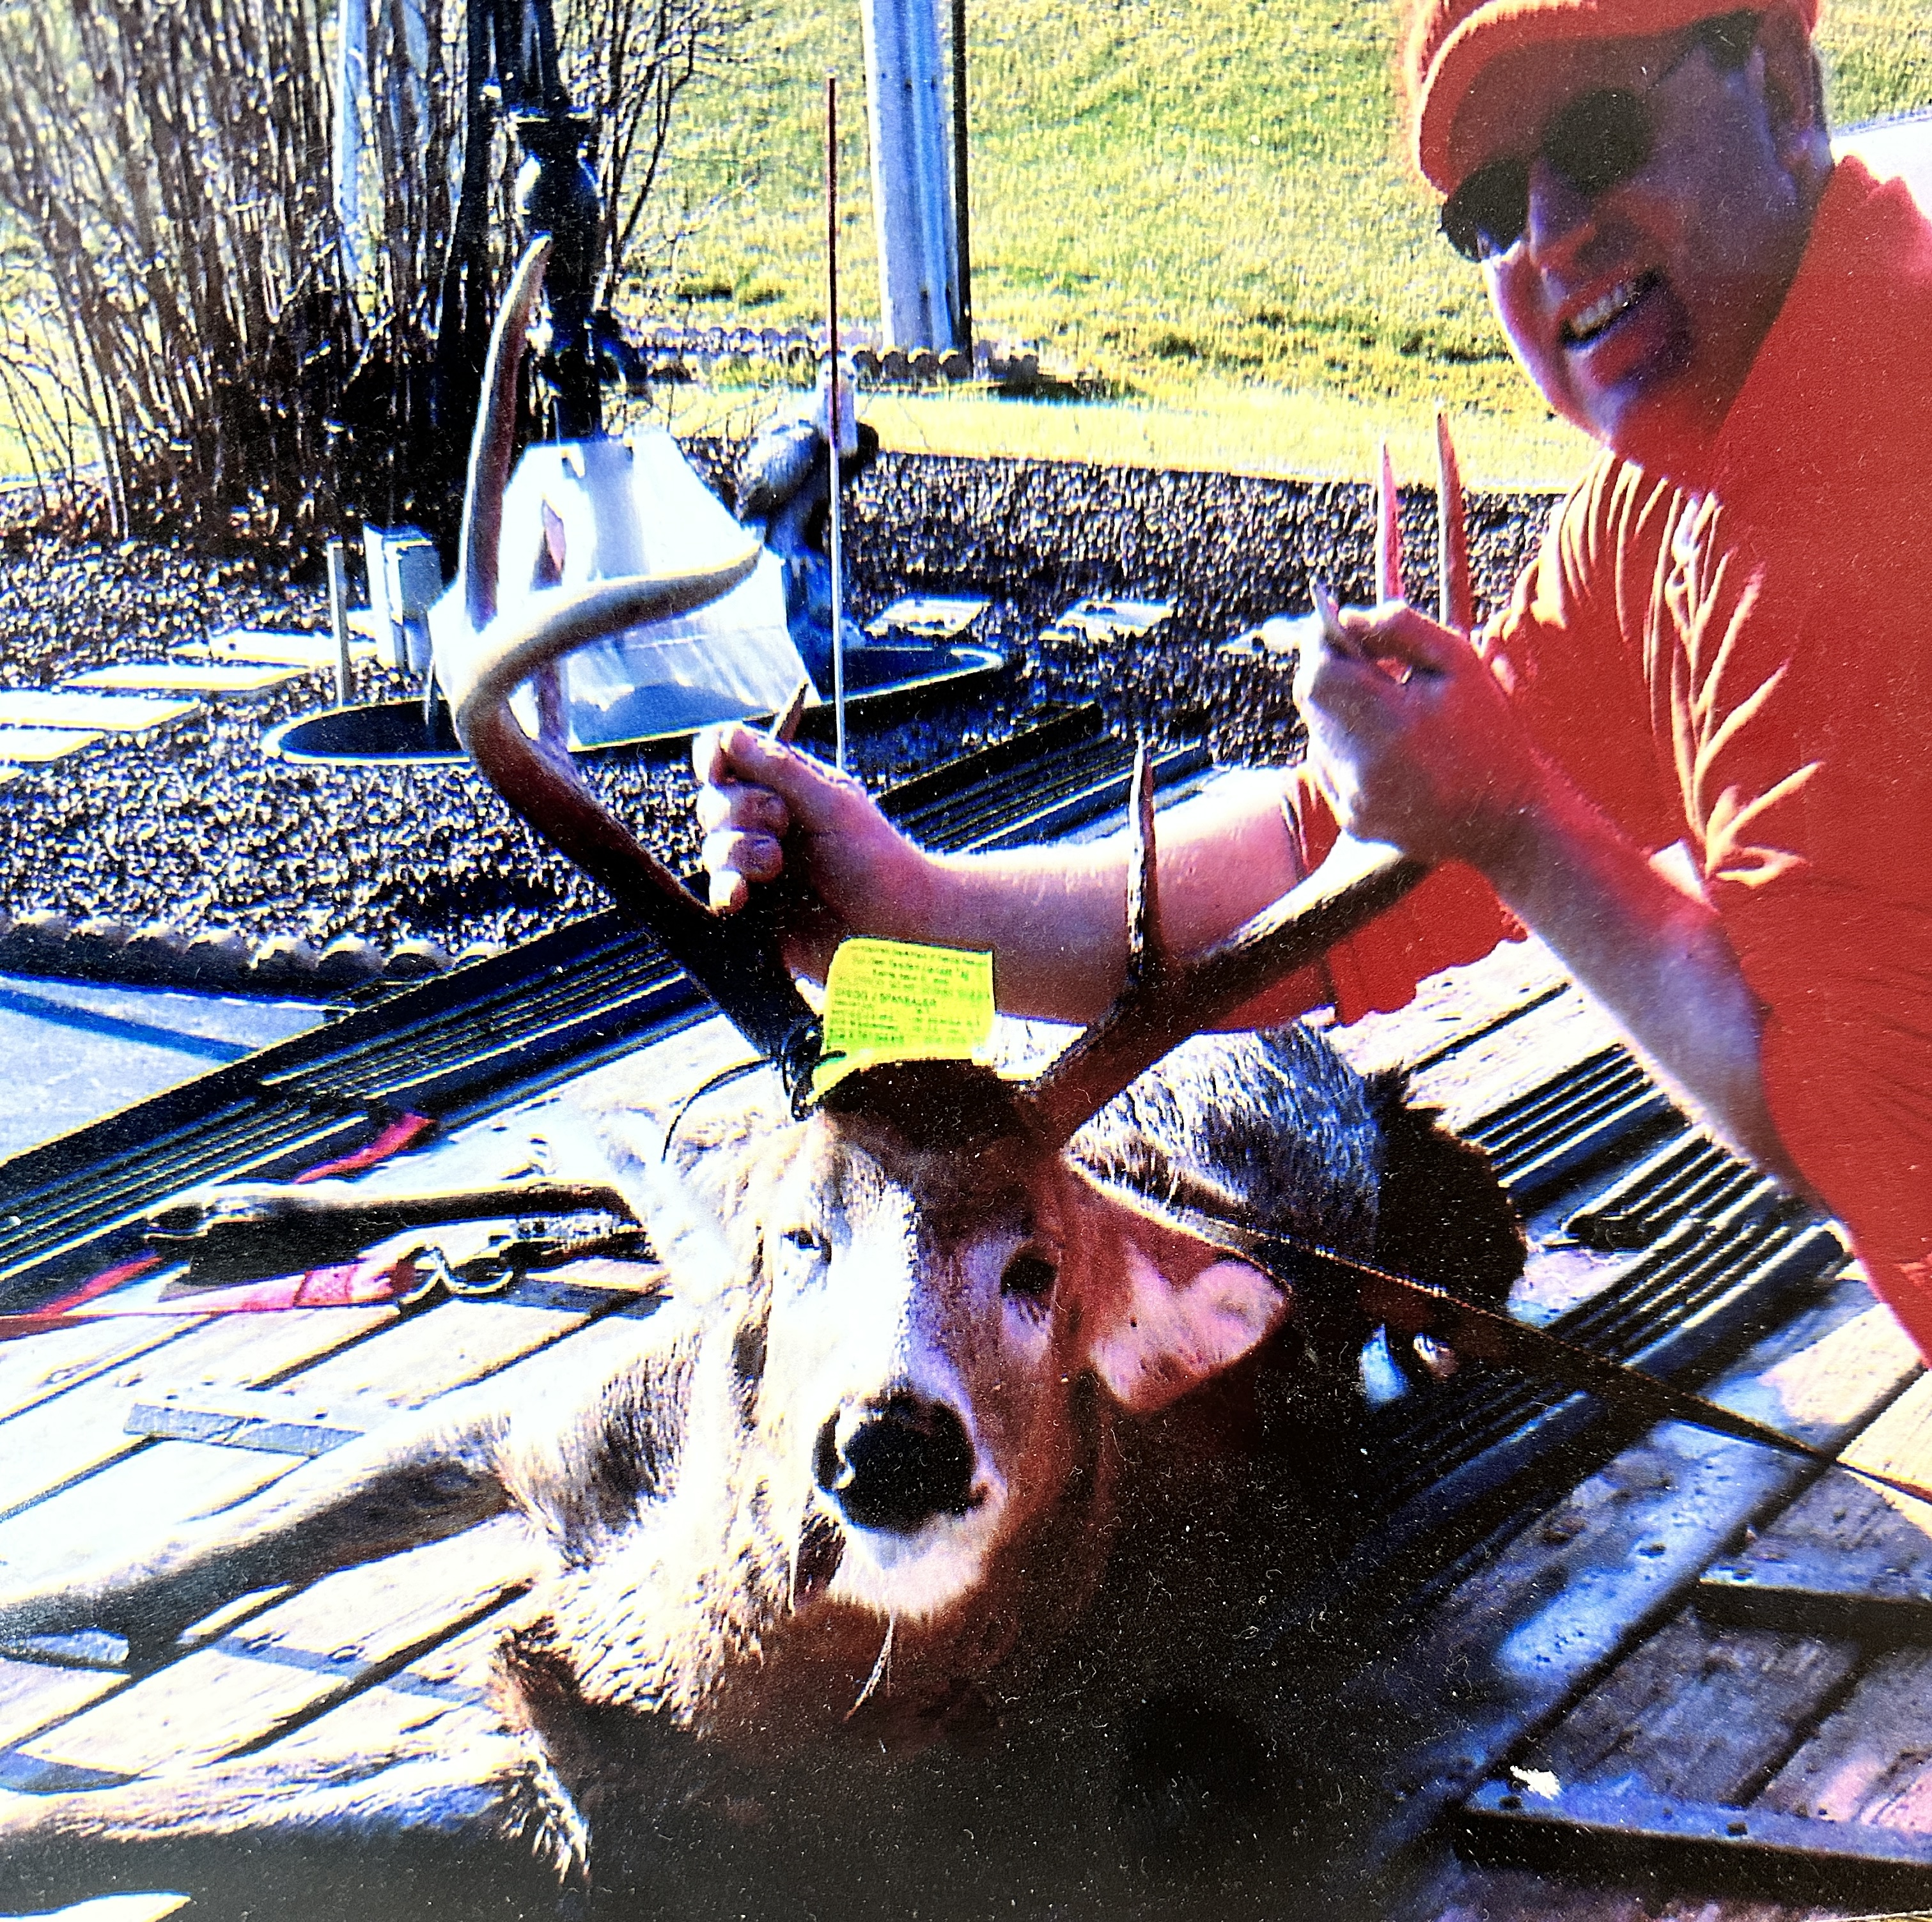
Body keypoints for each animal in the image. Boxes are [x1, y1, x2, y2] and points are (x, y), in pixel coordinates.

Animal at [0, 243, 1524, 1921]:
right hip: (695, 1160)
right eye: (805, 1238)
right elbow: (167, 1561)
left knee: (609, 1166)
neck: (669, 1640)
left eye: (1040, 1268)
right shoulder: (549, 1414)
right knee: (605, 1132)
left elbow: (146, 1821)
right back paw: (244, 1208)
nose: (892, 1444)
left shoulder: (619, 1802)